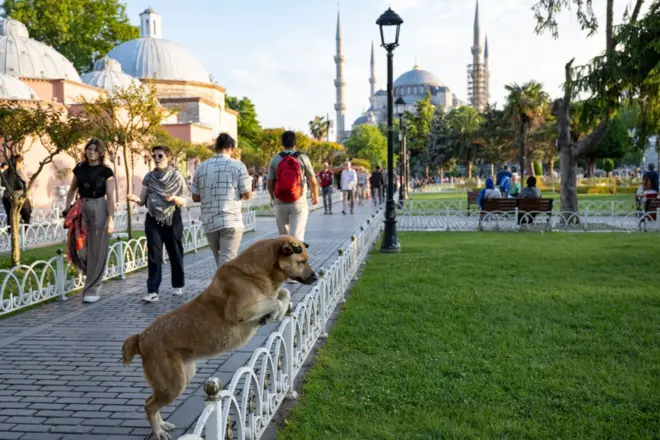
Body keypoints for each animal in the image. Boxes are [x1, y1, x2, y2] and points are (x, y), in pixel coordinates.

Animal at [124, 235, 320, 438]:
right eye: (301, 261)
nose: (316, 277)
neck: (257, 272)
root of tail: (141, 337)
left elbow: (283, 294)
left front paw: (277, 311)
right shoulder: (240, 310)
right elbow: (275, 301)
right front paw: (275, 312)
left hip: (180, 377)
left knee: (150, 401)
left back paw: (163, 425)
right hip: (172, 384)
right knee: (149, 406)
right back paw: (158, 432)